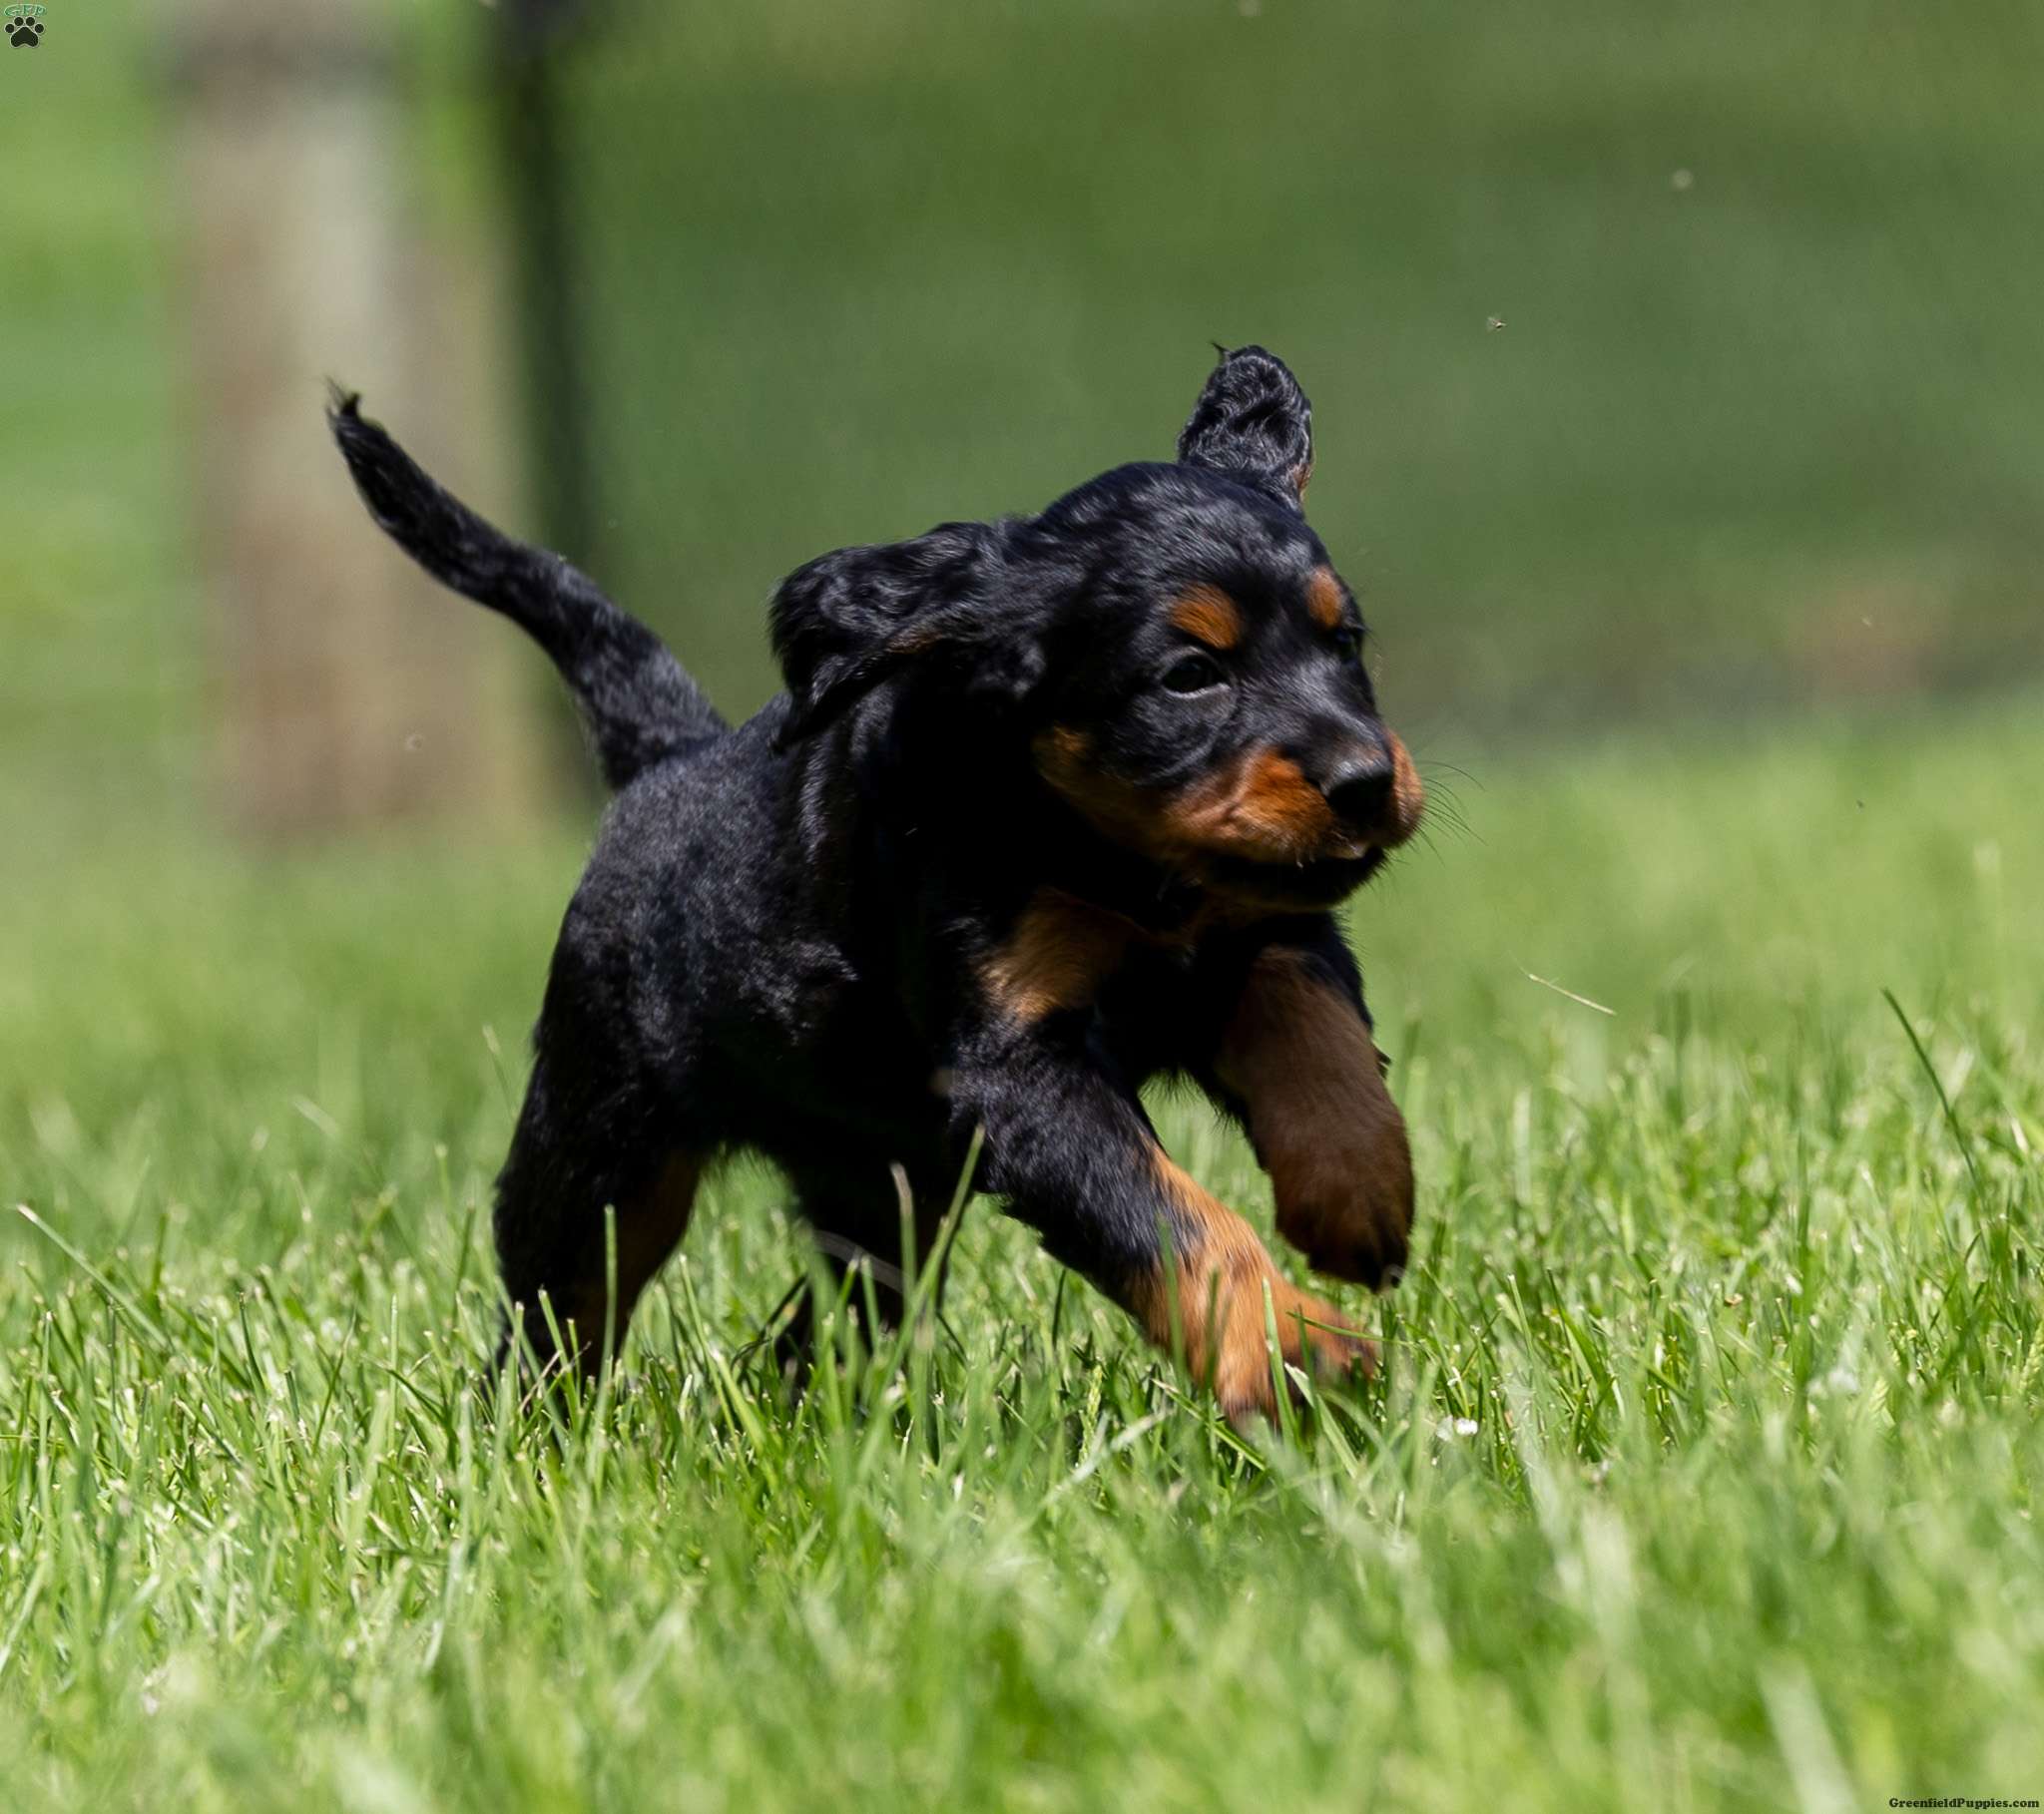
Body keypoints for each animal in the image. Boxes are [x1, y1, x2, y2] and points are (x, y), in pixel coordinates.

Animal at [330, 351, 1422, 1430]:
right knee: (562, 1307)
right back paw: (536, 1434)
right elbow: (1159, 1211)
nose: (1367, 782)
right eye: (1189, 674)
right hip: (602, 1142)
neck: (1114, 857)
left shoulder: (1262, 931)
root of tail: (668, 759)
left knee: (819, 1326)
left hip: (884, 1184)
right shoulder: (1016, 1062)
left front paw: (1356, 1202)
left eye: (1344, 642)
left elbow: (1323, 1048)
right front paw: (1290, 1347)